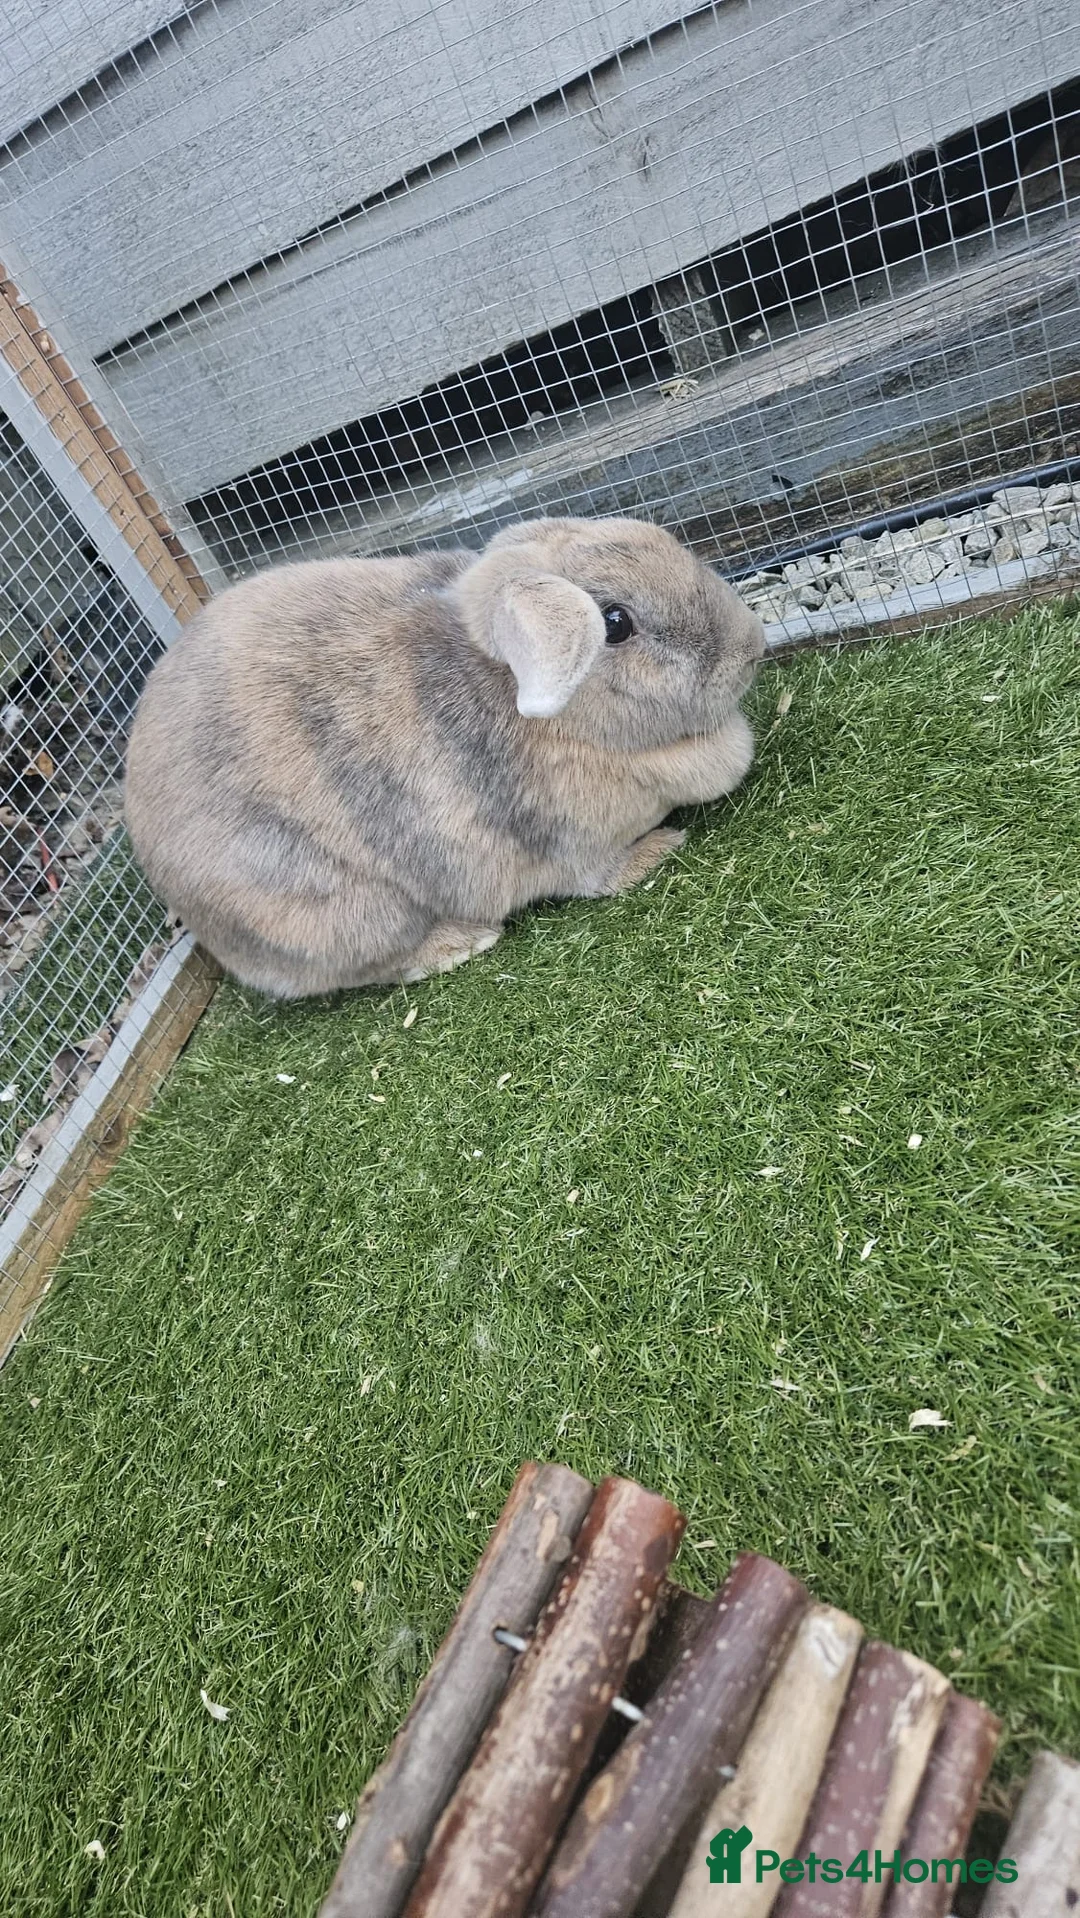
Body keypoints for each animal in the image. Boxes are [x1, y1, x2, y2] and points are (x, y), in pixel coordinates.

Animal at [124, 515, 765, 998]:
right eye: (615, 623)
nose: (753, 646)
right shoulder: (576, 844)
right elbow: (600, 877)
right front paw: (661, 849)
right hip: (352, 914)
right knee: (375, 966)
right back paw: (461, 942)